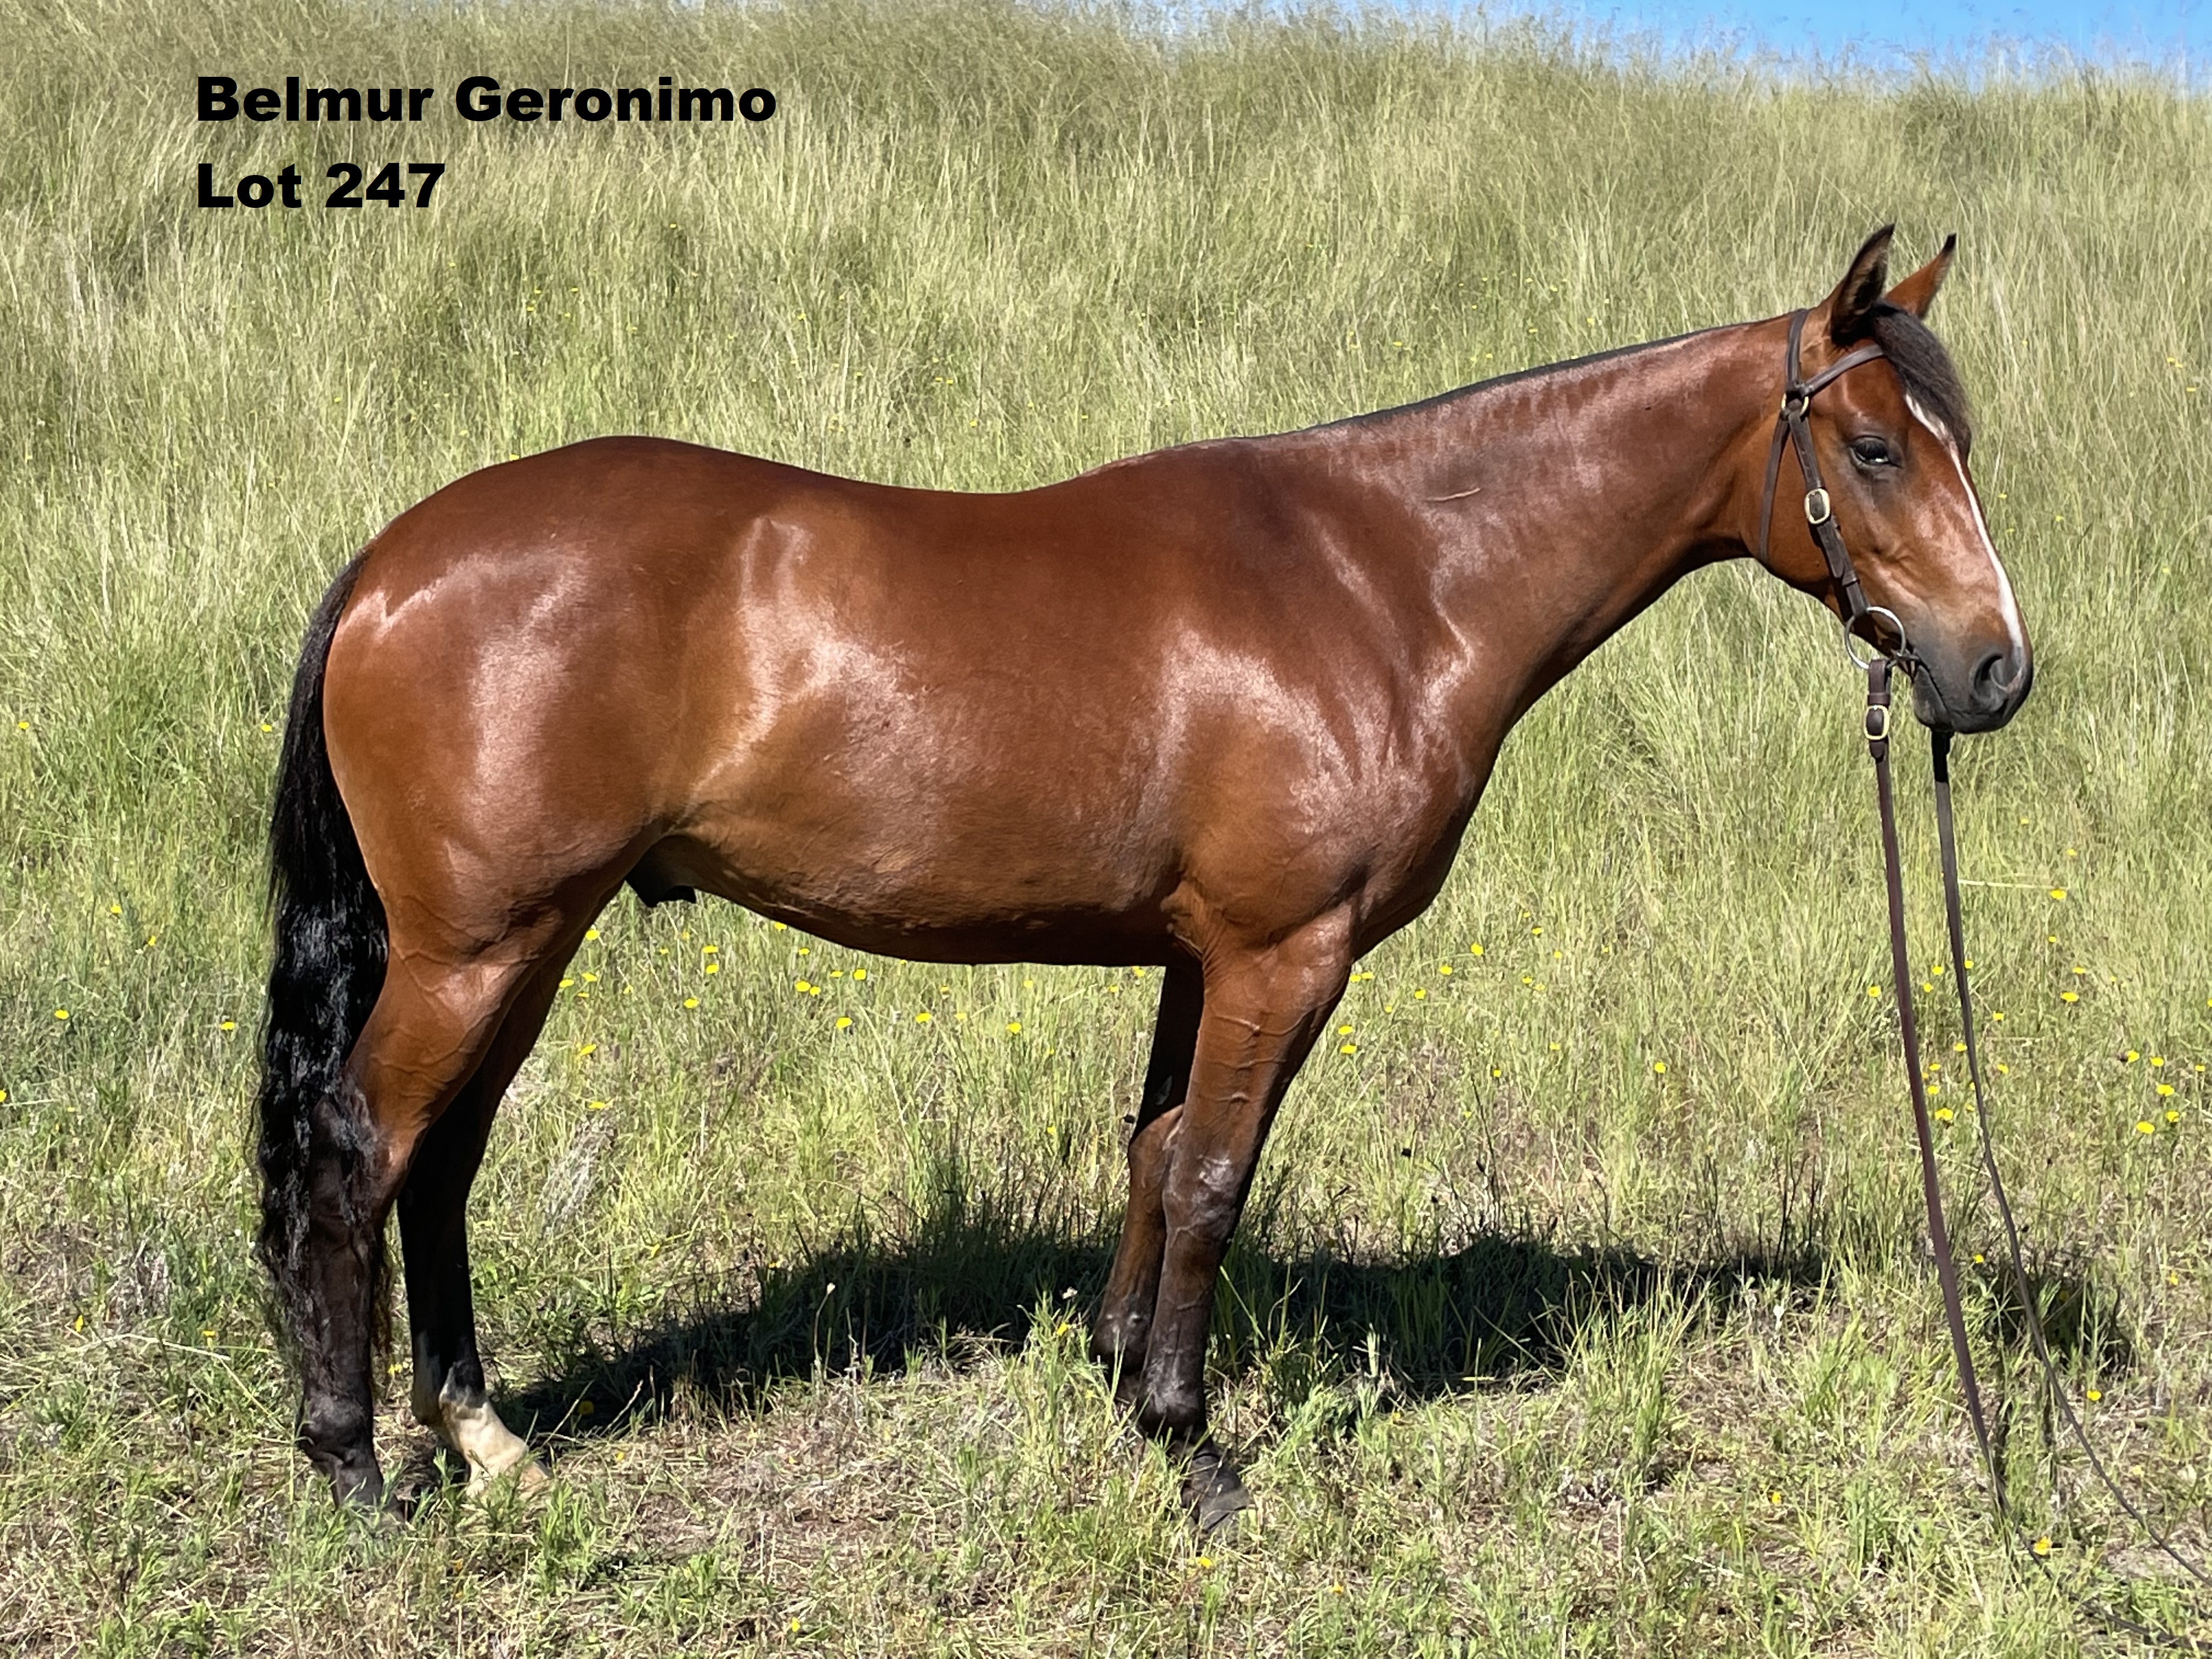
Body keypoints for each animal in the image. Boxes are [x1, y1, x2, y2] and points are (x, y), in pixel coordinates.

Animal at [256, 226, 2030, 1525]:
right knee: (359, 1155)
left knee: (445, 1164)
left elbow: (1154, 1151)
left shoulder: (1195, 956)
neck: (1388, 579)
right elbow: (1214, 1178)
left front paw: (1118, 1383)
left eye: (1956, 443)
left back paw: (482, 1436)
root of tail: (396, 559)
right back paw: (355, 1468)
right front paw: (1192, 1444)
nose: (1995, 671)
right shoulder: (1280, 952)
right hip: (477, 948)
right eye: (1876, 447)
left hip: (524, 944)